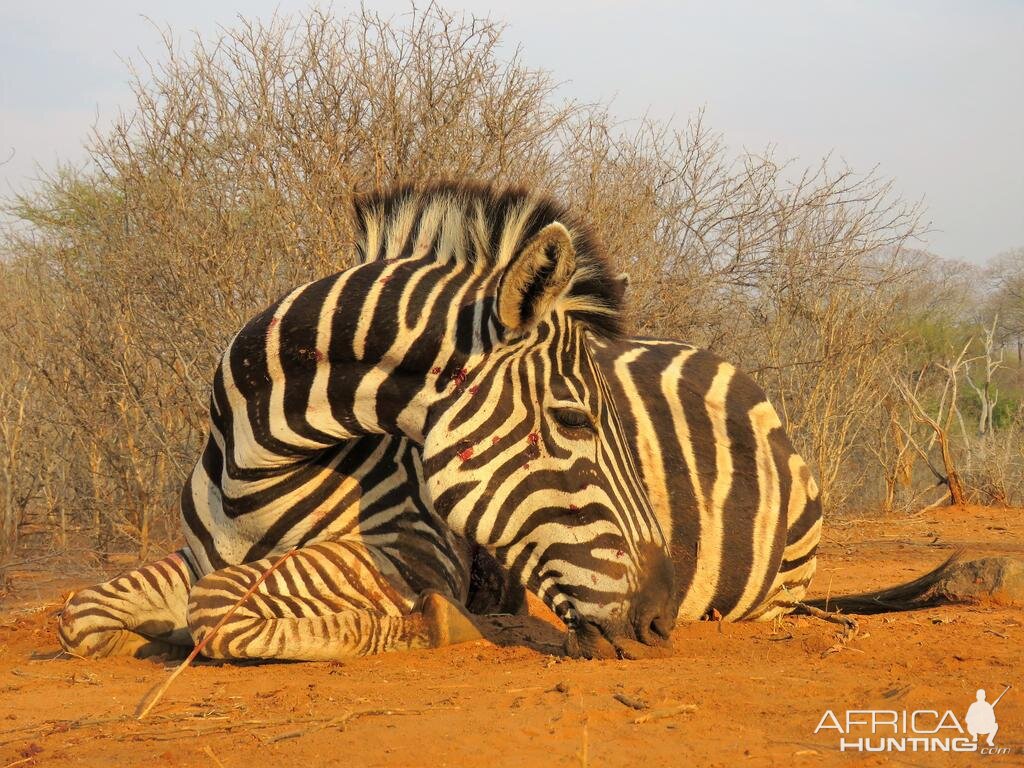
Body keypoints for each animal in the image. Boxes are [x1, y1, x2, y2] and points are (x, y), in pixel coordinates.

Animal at [61, 183, 679, 663]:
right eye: (574, 420)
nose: (660, 620)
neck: (250, 474)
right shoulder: (193, 556)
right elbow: (79, 614)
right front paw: (151, 638)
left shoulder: (409, 551)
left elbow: (214, 608)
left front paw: (431, 625)